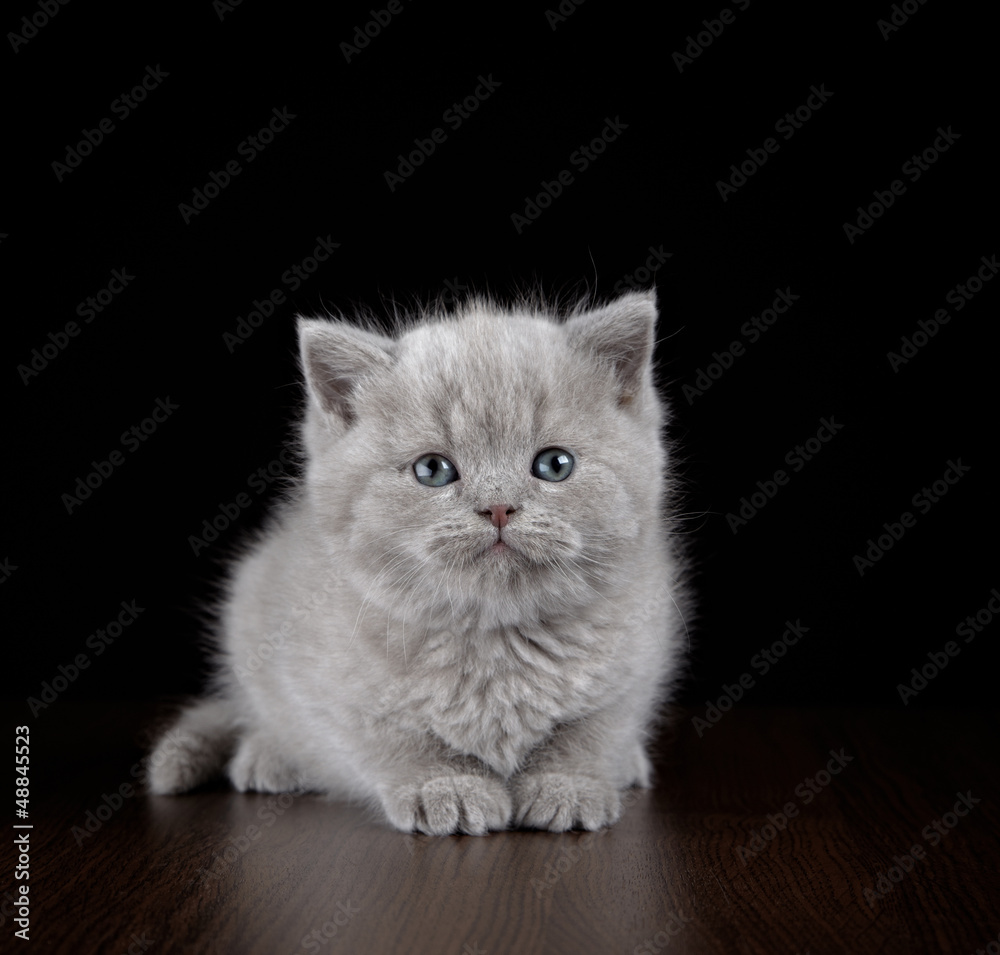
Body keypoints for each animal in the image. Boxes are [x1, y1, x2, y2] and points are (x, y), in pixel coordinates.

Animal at [150, 288, 688, 832]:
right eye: (433, 470)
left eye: (554, 465)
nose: (498, 506)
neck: (495, 635)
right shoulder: (331, 686)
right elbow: (396, 741)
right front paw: (446, 787)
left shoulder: (636, 663)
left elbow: (592, 731)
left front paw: (569, 785)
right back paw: (270, 758)